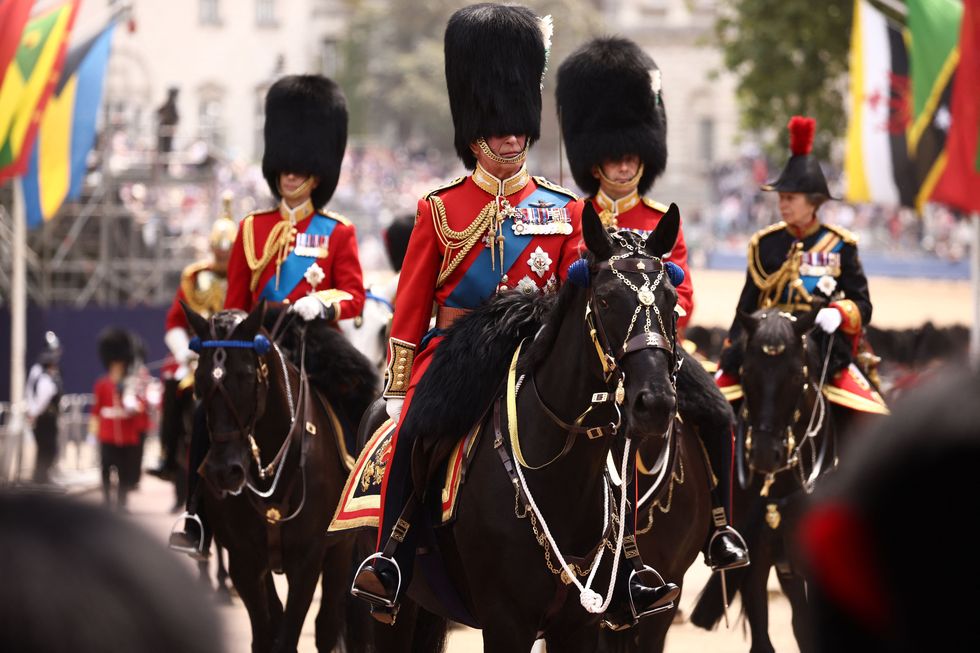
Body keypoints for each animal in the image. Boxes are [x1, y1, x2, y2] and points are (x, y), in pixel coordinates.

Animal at [182, 306, 374, 652]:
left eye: (246, 376)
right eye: (200, 379)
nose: (223, 472)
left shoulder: (308, 561)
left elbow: (288, 637)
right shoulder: (244, 561)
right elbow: (265, 635)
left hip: (340, 552)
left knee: (327, 626)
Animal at [356, 206, 684, 652]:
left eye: (671, 300)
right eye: (605, 300)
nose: (655, 403)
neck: (560, 473)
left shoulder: (578, 625)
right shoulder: (506, 622)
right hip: (396, 609)